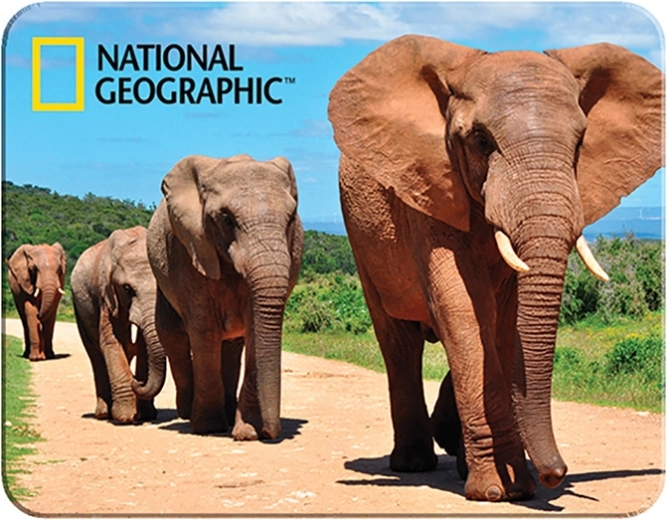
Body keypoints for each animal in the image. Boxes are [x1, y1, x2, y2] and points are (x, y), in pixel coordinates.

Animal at [70, 226, 167, 424]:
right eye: (127, 289)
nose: (137, 381)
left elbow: (144, 345)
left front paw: (146, 415)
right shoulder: (106, 293)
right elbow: (111, 341)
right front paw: (126, 417)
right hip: (79, 305)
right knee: (95, 354)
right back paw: (103, 414)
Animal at [146, 154, 303, 440]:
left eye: (290, 219)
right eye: (227, 220)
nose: (271, 432)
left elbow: (254, 326)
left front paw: (247, 432)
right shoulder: (189, 248)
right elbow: (204, 328)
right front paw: (208, 428)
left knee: (231, 345)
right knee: (173, 335)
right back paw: (188, 413)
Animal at [328, 35, 662, 501]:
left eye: (580, 143)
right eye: (481, 141)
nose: (556, 474)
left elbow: (504, 322)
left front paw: (512, 483)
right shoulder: (429, 186)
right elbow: (466, 310)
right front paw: (499, 490)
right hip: (362, 239)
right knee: (399, 341)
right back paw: (412, 464)